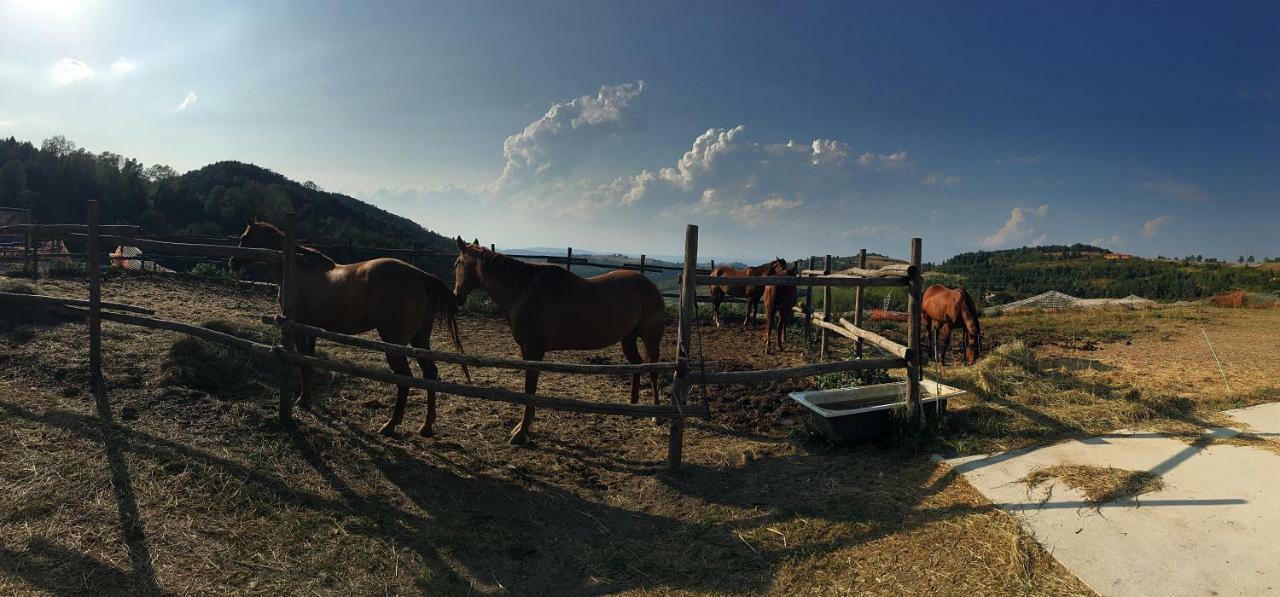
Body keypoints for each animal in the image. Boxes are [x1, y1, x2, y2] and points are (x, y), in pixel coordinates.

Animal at [230, 221, 471, 435]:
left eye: (244, 238)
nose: (232, 262)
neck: (295, 268)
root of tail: (420, 275)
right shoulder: (310, 329)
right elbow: (309, 360)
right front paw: (307, 398)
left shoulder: (298, 328)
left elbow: (303, 362)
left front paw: (303, 400)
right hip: (419, 341)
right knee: (430, 374)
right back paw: (426, 426)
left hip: (394, 344)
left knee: (404, 379)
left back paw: (391, 425)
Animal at [453, 238, 670, 443]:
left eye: (457, 264)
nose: (456, 297)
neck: (523, 291)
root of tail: (651, 286)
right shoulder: (527, 350)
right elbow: (530, 388)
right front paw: (524, 425)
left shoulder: (533, 349)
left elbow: (529, 388)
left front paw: (522, 432)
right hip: (628, 339)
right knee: (637, 365)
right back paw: (632, 406)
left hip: (651, 339)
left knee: (653, 371)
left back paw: (656, 415)